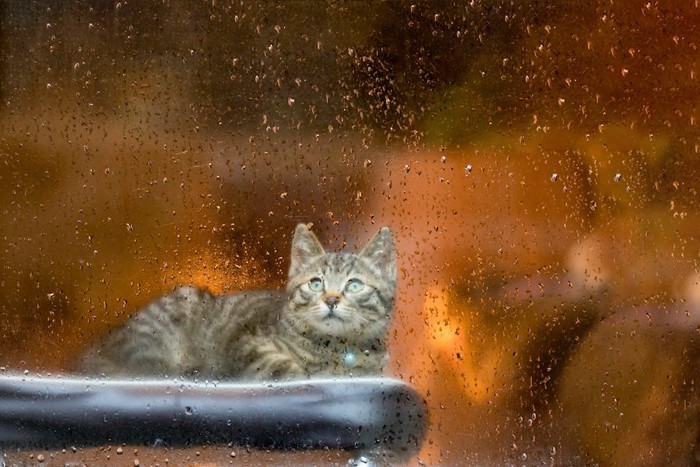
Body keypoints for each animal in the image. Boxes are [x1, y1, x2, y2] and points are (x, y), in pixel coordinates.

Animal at [79, 225, 396, 382]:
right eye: (316, 283)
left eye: (354, 285)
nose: (330, 300)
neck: (332, 348)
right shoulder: (248, 343)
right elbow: (285, 369)